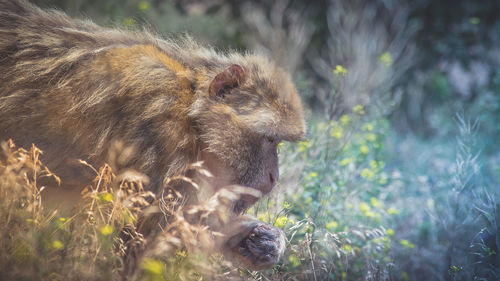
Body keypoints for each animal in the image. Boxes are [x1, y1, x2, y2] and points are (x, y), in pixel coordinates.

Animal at [0, 0, 304, 272]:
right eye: (269, 139)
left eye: (278, 142)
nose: (273, 177)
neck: (190, 114)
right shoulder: (158, 135)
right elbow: (128, 245)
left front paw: (258, 238)